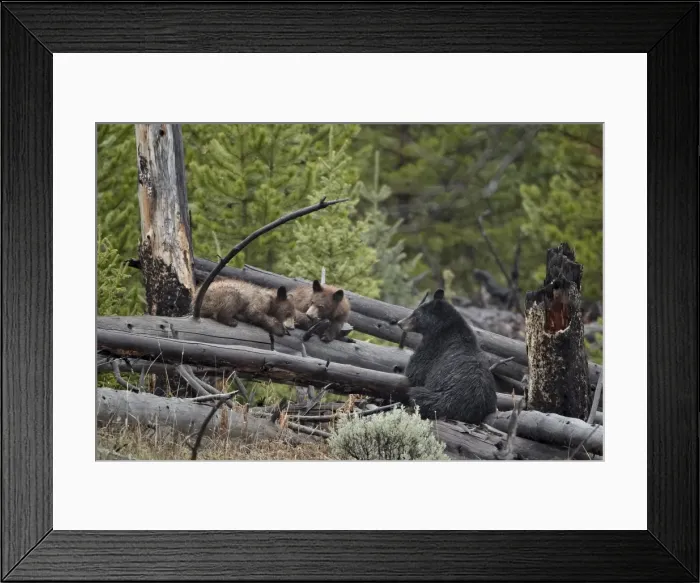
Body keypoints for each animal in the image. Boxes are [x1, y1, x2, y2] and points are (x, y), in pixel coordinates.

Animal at [396, 289, 497, 424]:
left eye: (415, 313)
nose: (399, 323)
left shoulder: (433, 348)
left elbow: (415, 369)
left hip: (440, 399)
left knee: (417, 395)